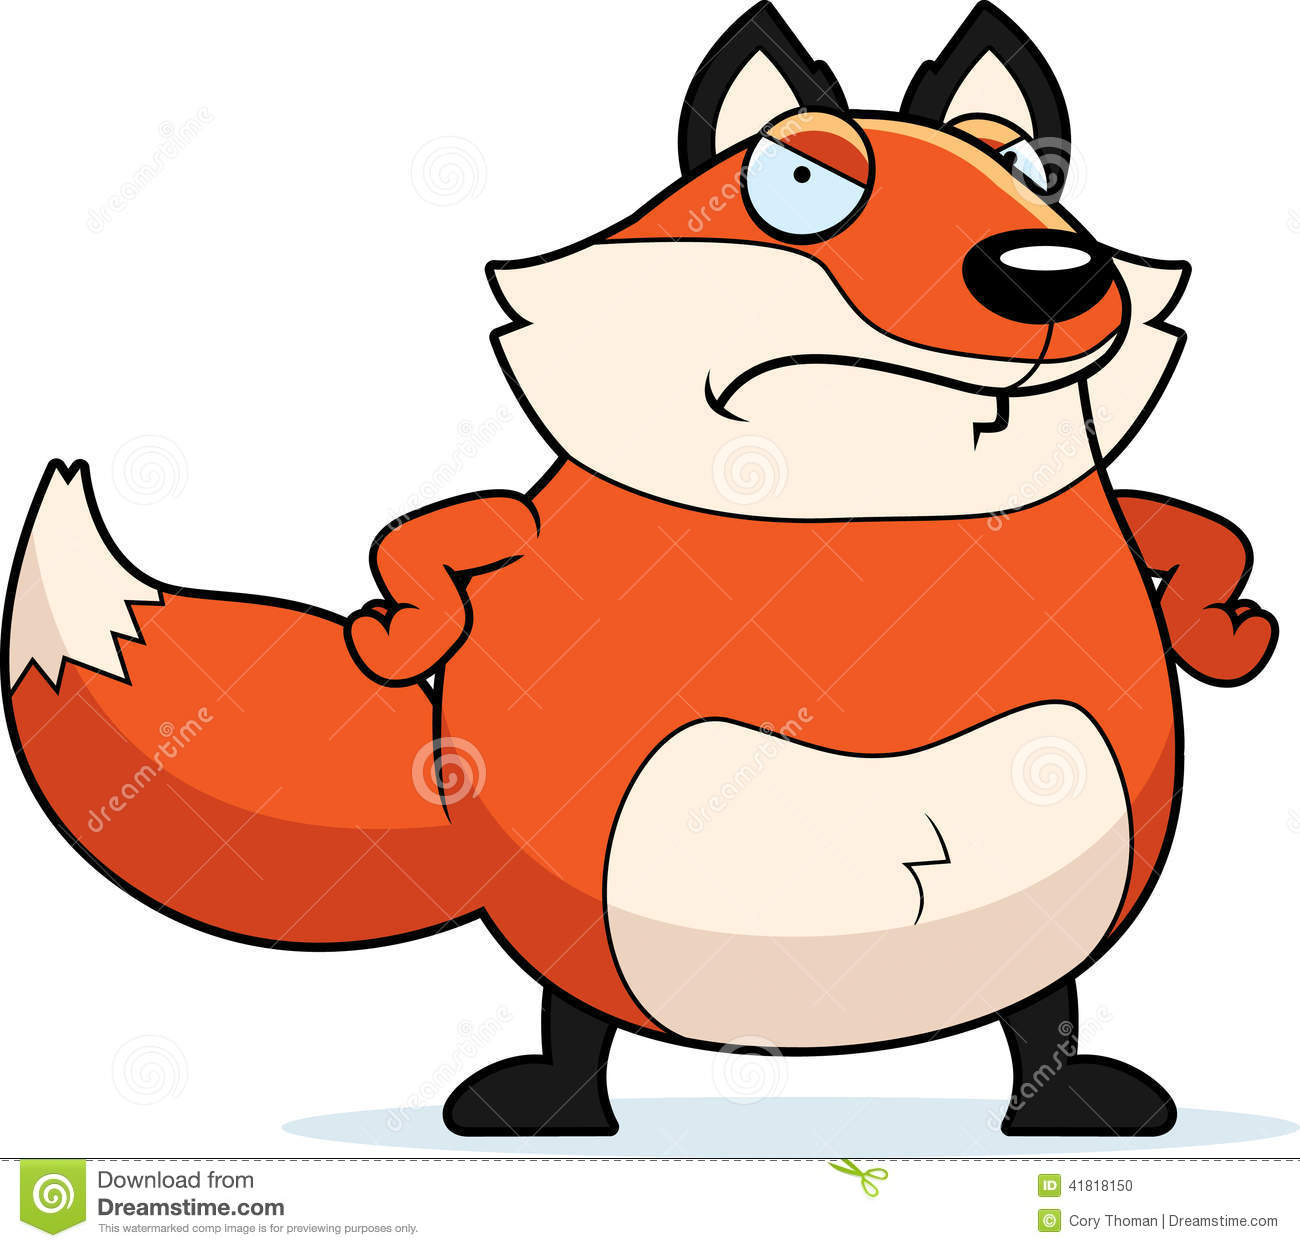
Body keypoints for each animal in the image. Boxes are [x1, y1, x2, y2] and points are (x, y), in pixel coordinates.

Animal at [3, 3, 1278, 1139]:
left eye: (1026, 170)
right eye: (800, 185)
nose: (1049, 272)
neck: (856, 514)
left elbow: (1193, 539)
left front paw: (1222, 620)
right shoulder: (526, 533)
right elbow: (443, 545)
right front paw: (401, 624)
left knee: (1038, 1009)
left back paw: (1065, 1105)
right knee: (578, 1019)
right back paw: (550, 1107)